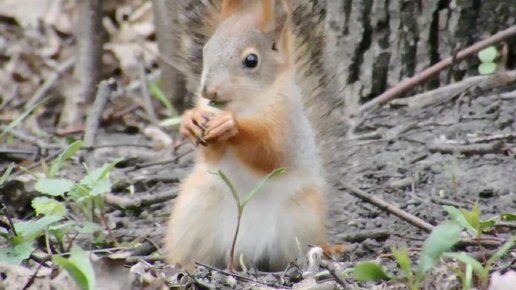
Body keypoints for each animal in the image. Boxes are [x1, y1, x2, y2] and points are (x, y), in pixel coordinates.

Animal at [163, 0, 344, 272]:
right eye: (206, 50)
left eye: (251, 60)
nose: (208, 91)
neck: (244, 104)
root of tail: (245, 250)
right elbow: (210, 155)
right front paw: (190, 121)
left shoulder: (287, 125)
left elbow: (270, 152)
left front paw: (232, 125)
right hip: (192, 213)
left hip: (305, 217)